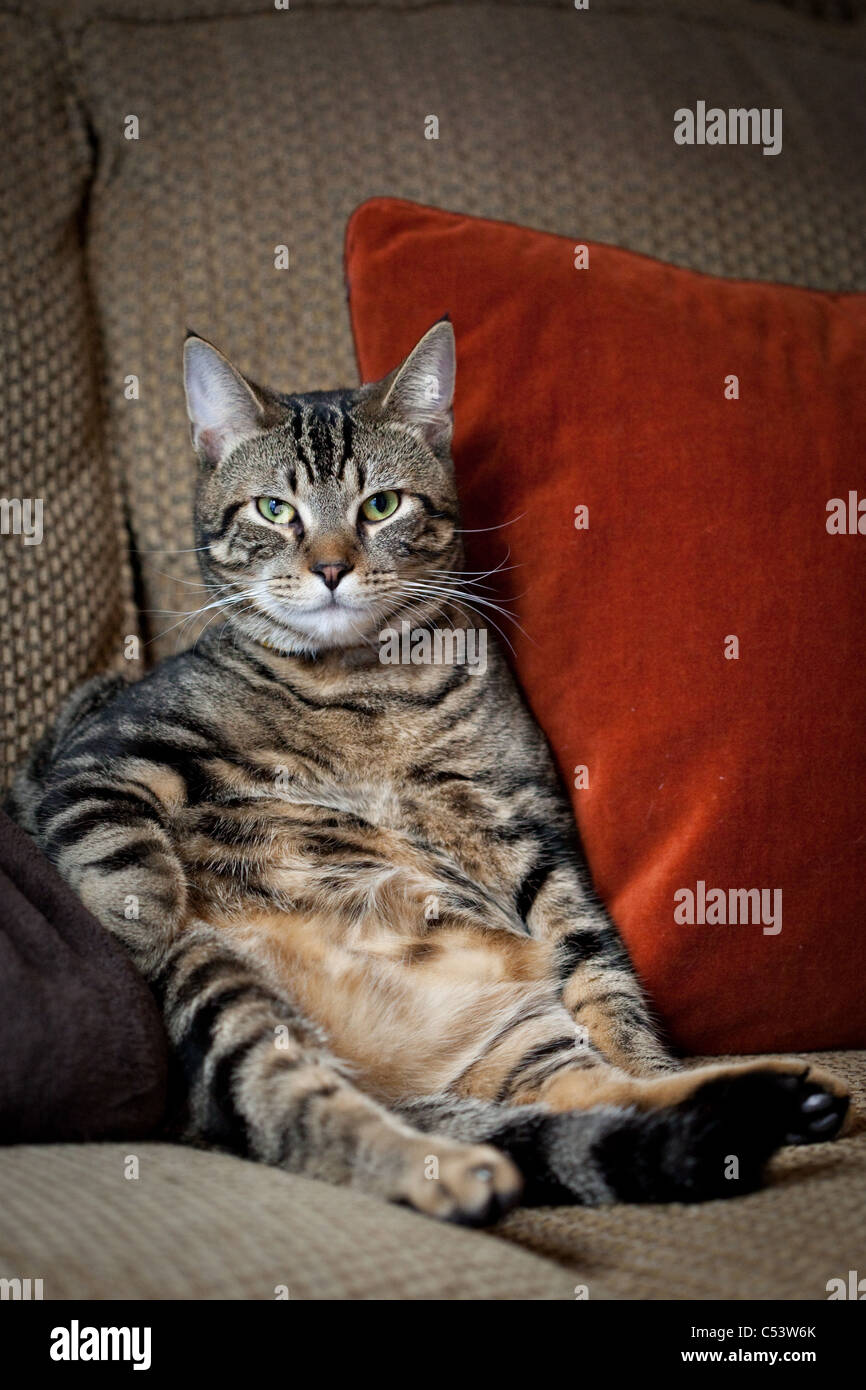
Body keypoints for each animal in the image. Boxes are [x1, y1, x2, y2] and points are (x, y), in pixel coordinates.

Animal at [11, 319, 845, 1223]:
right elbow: (118, 854)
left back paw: (780, 1095)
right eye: (275, 509)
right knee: (310, 1117)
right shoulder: (109, 747)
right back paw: (454, 1172)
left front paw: (652, 1058)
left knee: (587, 1093)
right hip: (228, 998)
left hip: (519, 1035)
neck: (369, 687)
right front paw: (144, 930)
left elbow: (602, 977)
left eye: (382, 505)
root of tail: (395, 1079)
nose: (331, 567)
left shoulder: (521, 820)